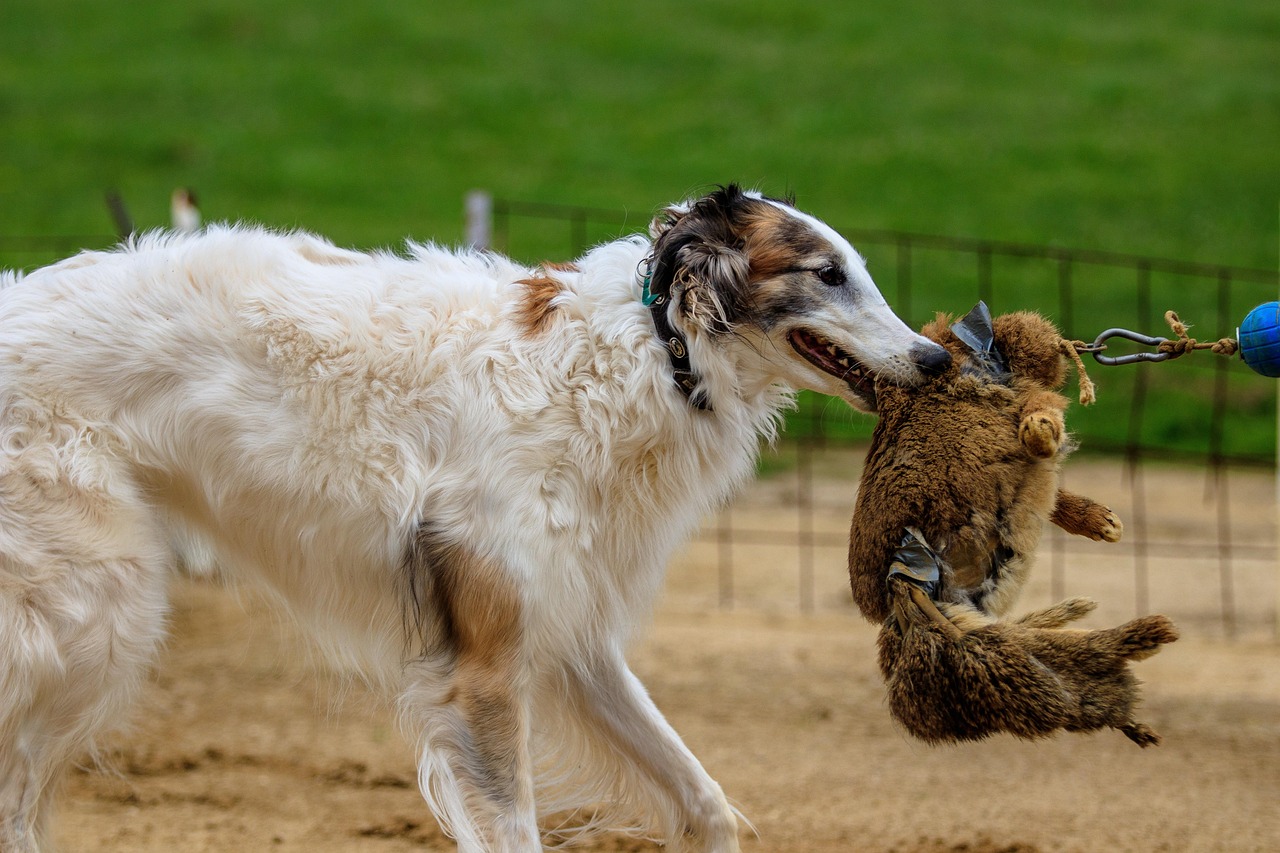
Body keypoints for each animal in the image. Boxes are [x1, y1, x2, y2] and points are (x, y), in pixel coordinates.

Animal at [2, 188, 952, 850]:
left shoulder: (570, 638)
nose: (937, 358)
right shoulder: (485, 668)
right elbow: (516, 826)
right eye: (826, 273)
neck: (643, 353)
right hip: (95, 618)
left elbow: (706, 803)